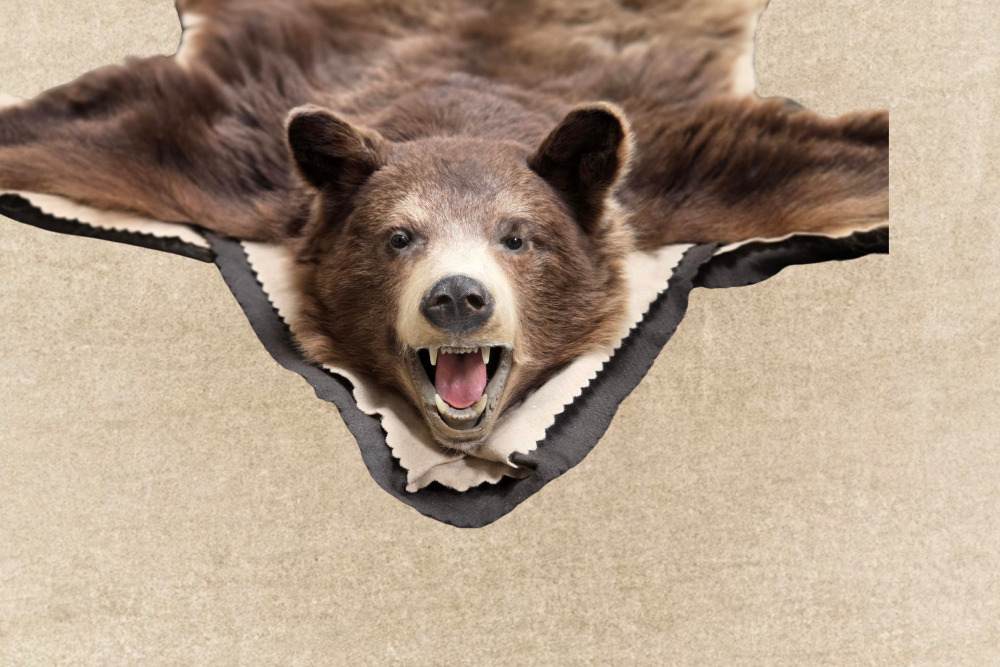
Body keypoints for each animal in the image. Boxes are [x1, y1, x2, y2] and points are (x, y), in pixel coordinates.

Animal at [0, 0, 889, 453]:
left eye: (517, 235)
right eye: (399, 236)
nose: (458, 298)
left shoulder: (672, 166)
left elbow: (813, 170)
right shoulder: (243, 158)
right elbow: (113, 137)